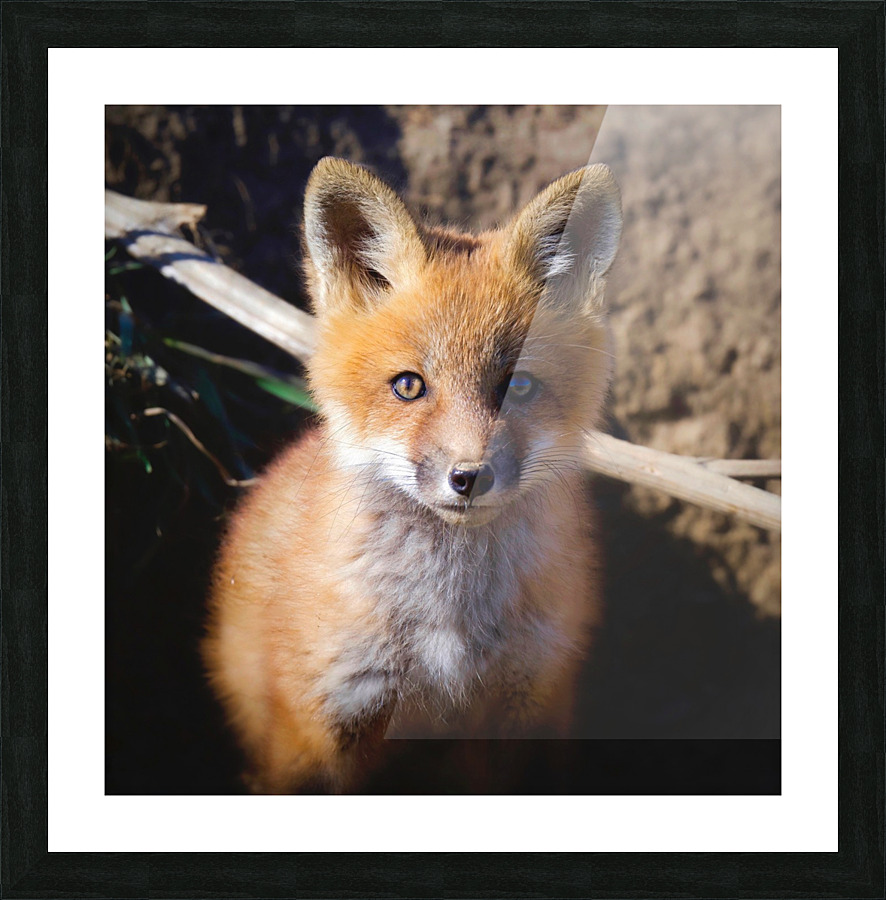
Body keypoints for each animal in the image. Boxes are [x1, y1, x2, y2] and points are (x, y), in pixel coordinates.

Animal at [202, 157, 623, 793]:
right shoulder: (330, 713)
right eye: (408, 386)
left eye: (519, 386)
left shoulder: (526, 700)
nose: (470, 477)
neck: (447, 625)